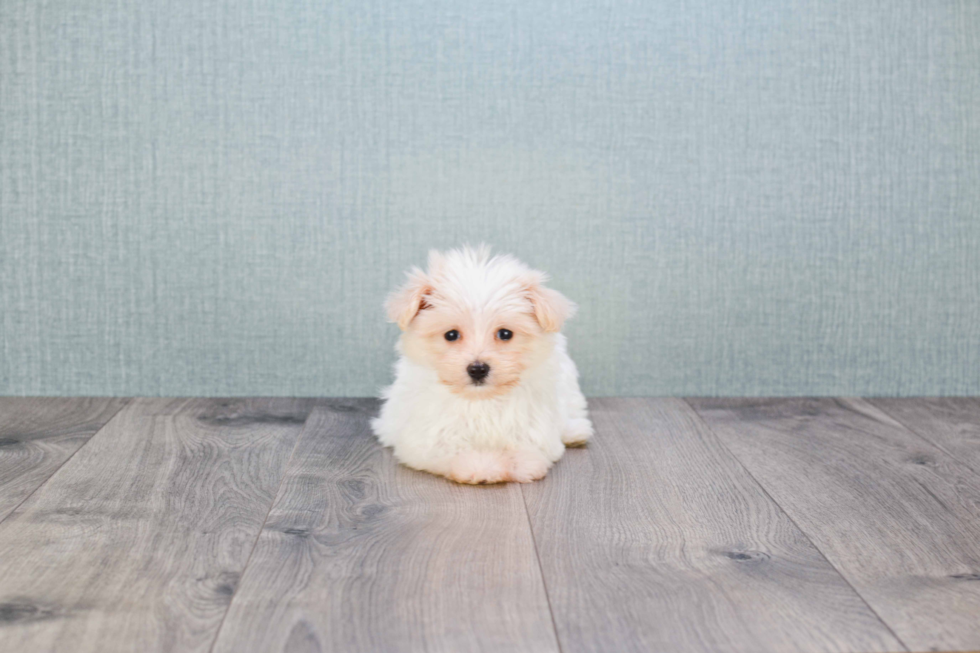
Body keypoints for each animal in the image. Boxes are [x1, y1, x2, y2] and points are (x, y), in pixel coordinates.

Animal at [374, 244, 588, 484]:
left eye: (505, 334)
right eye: (451, 335)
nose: (477, 369)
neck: (481, 399)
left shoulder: (533, 422)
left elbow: (529, 445)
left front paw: (521, 463)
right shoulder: (426, 437)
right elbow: (453, 449)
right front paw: (485, 466)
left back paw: (575, 431)